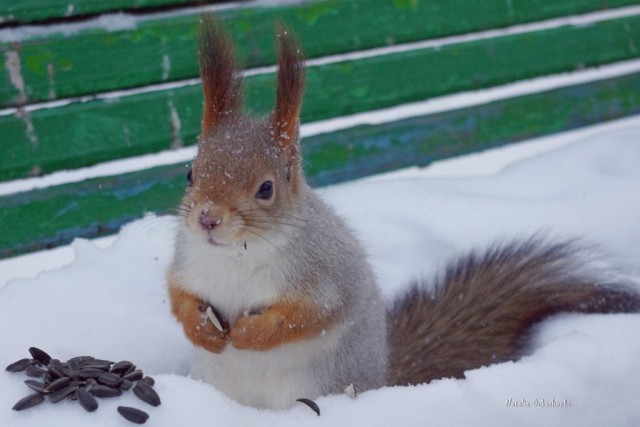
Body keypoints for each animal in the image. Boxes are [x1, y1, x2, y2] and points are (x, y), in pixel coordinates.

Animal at [166, 18, 640, 412]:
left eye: (266, 189)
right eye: (190, 173)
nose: (207, 219)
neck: (236, 255)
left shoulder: (326, 273)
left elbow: (312, 315)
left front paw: (251, 334)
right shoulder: (187, 260)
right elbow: (178, 294)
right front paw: (200, 328)